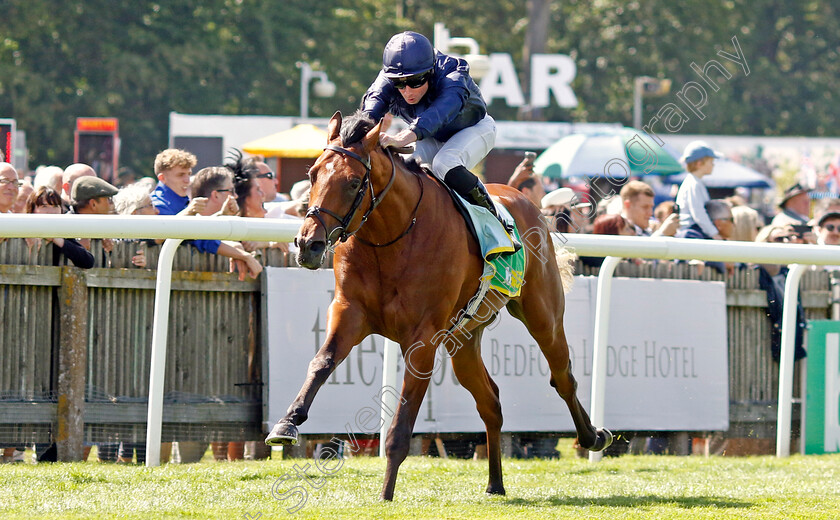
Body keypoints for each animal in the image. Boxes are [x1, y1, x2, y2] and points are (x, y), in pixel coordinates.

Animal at [266, 110, 612, 500]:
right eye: (312, 174)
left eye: (354, 182)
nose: (307, 244)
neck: (391, 236)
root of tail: (524, 199)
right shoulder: (348, 311)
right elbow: (322, 362)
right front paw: (286, 423)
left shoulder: (422, 337)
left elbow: (402, 419)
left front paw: (386, 493)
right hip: (463, 338)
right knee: (490, 401)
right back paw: (495, 482)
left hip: (543, 314)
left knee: (562, 376)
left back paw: (593, 436)